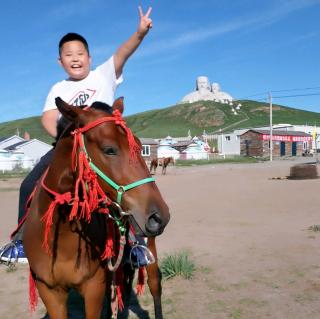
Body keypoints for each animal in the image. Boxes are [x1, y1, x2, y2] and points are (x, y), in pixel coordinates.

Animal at [22, 97, 170, 319]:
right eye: (109, 149)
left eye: (139, 147)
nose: (159, 216)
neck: (63, 236)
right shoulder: (49, 291)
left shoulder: (94, 287)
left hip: (149, 248)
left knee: (154, 285)